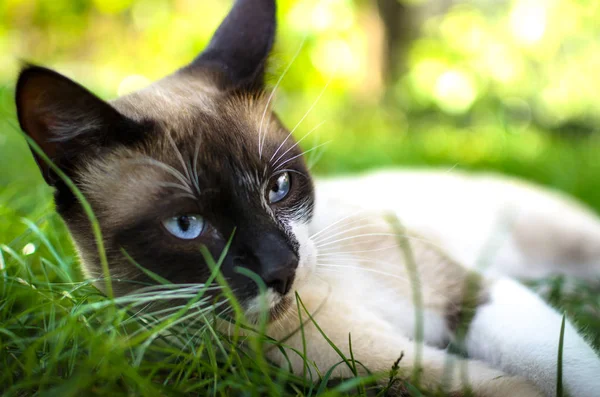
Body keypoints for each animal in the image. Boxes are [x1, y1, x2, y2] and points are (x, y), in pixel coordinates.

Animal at [12, 0, 600, 394]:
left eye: (280, 187)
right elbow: (513, 384)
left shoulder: (467, 292)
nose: (282, 267)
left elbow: (569, 368)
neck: (322, 293)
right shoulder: (384, 368)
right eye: (186, 226)